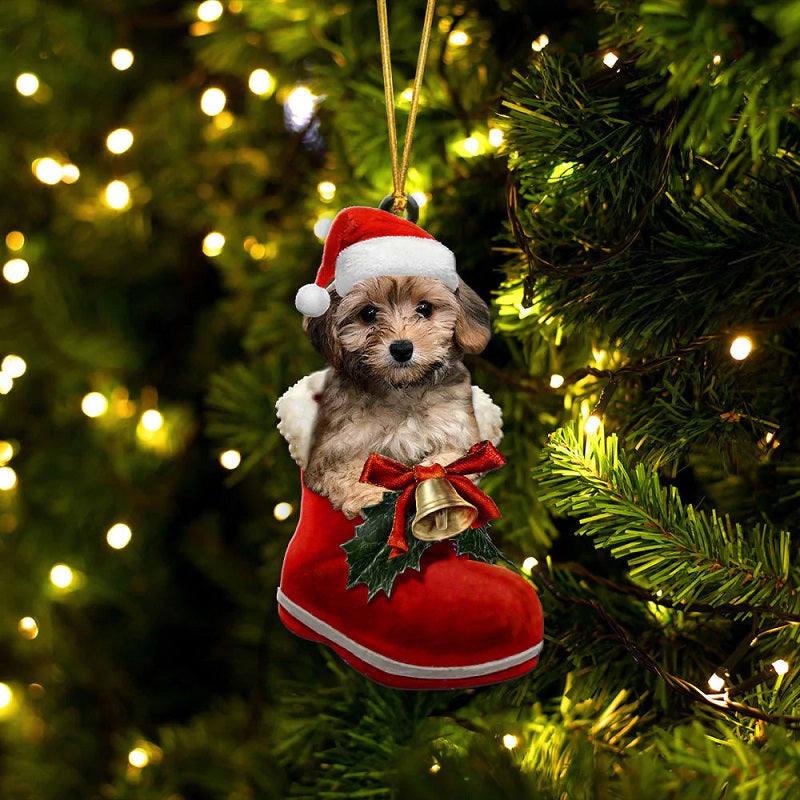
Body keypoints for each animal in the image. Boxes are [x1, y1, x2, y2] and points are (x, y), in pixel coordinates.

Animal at [304, 274, 490, 520]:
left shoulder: (459, 437)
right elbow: (351, 473)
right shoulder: (330, 455)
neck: (402, 388)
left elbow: (446, 464)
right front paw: (374, 498)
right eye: (368, 313)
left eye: (425, 308)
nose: (402, 349)